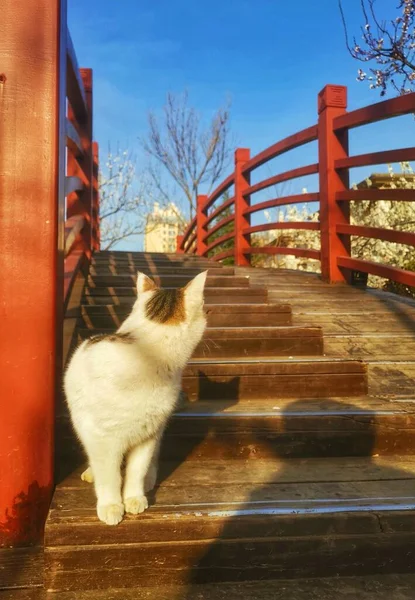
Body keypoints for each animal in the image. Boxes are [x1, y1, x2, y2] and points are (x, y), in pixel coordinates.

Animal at [64, 270, 208, 524]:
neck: (148, 356)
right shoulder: (103, 437)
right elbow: (110, 476)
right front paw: (111, 505)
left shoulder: (148, 433)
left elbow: (136, 471)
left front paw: (134, 498)